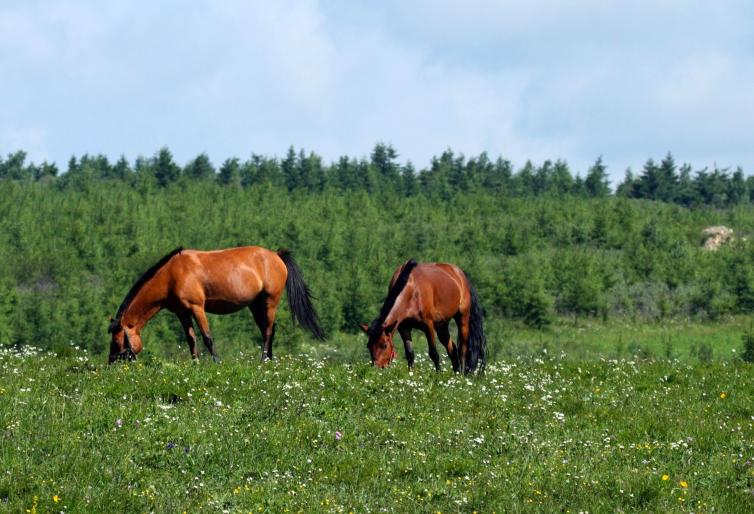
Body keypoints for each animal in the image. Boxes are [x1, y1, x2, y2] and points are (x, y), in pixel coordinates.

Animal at [108, 246, 324, 362]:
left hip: (271, 301)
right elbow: (191, 340)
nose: (111, 363)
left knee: (269, 330)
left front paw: (216, 362)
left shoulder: (197, 308)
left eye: (117, 341)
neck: (171, 275)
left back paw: (263, 360)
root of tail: (276, 255)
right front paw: (195, 363)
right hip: (255, 305)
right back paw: (269, 359)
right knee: (267, 329)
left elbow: (207, 337)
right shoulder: (182, 313)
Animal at [360, 260, 488, 372]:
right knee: (451, 347)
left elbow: (433, 353)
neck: (412, 290)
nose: (376, 368)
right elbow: (410, 354)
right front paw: (411, 375)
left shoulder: (428, 326)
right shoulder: (404, 328)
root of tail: (460, 274)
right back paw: (456, 373)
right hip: (442, 325)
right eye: (368, 345)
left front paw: (438, 374)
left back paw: (462, 374)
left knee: (463, 348)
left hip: (462, 318)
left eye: (384, 345)